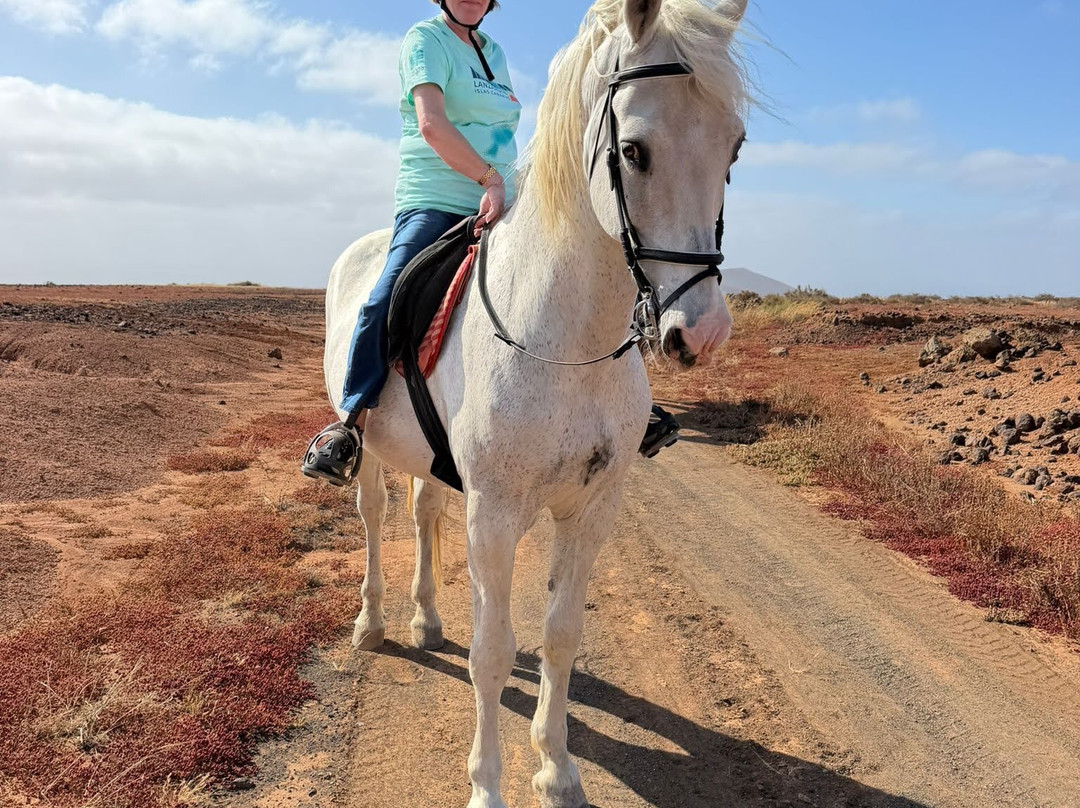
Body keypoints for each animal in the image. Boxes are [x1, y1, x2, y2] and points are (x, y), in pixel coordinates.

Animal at [322, 1, 751, 805]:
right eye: (634, 151)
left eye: (734, 148)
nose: (700, 333)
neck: (565, 338)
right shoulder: (494, 514)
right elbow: (492, 651)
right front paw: (488, 786)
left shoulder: (590, 509)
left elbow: (560, 635)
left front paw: (555, 766)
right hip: (369, 451)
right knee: (375, 517)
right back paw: (373, 623)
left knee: (424, 513)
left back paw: (426, 620)